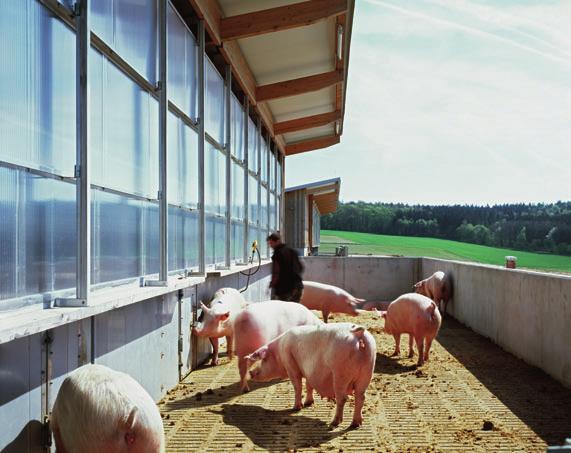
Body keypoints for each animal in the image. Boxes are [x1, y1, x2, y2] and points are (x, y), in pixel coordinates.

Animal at [245, 322, 376, 428]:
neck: (279, 351)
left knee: (342, 398)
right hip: (367, 371)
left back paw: (334, 423)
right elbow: (309, 385)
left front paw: (296, 408)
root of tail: (357, 333)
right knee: (361, 397)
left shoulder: (290, 365)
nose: (250, 372)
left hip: (340, 373)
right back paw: (356, 424)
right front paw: (308, 403)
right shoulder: (309, 371)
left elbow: (297, 386)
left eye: (263, 360)